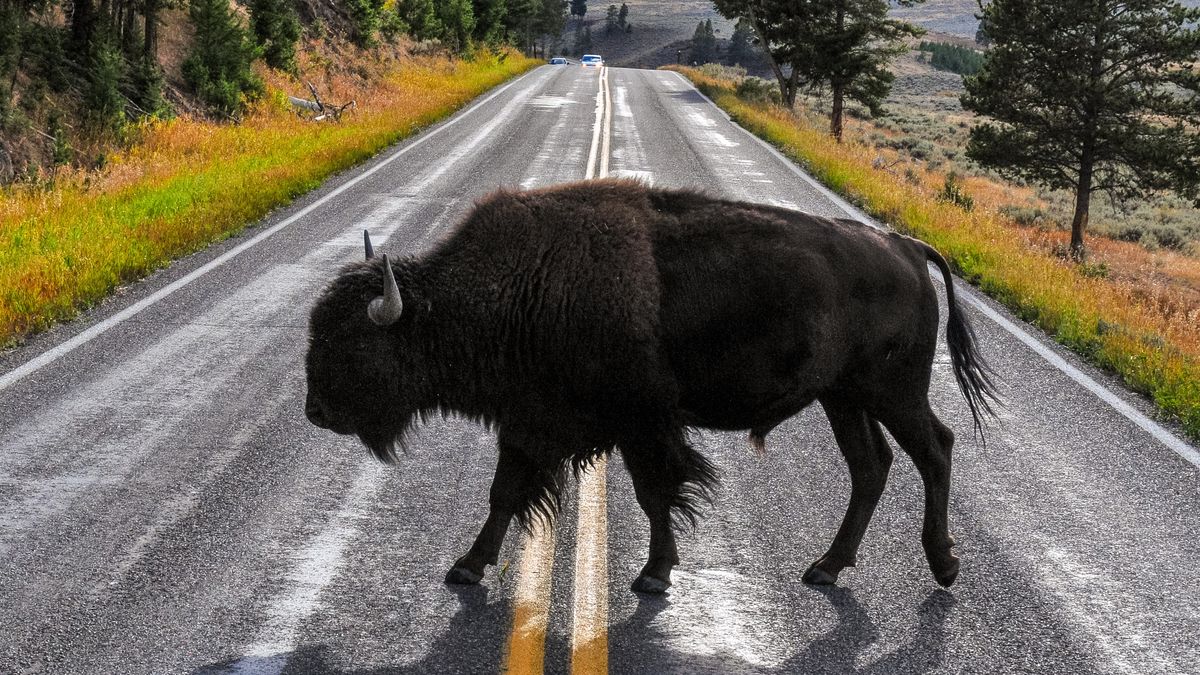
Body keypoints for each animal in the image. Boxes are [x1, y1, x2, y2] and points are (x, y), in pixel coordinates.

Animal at [304, 177, 998, 588]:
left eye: (351, 340)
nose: (315, 411)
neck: (524, 284)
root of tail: (906, 247)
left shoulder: (639, 425)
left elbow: (654, 494)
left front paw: (653, 575)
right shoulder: (529, 422)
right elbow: (504, 494)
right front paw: (467, 568)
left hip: (892, 392)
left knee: (934, 450)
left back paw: (943, 565)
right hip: (843, 398)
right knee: (871, 466)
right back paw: (825, 569)